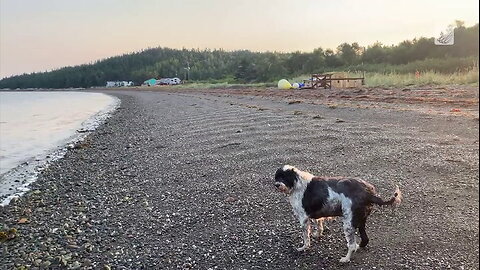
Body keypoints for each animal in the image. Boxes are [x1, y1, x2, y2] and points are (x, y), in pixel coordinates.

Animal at [274, 165, 402, 262]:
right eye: (277, 177)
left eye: (284, 177)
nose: (277, 185)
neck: (297, 183)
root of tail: (368, 193)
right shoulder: (315, 214)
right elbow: (319, 224)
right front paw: (318, 234)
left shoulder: (303, 218)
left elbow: (306, 237)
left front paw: (304, 247)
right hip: (360, 220)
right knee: (364, 240)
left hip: (349, 224)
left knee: (352, 245)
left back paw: (346, 259)